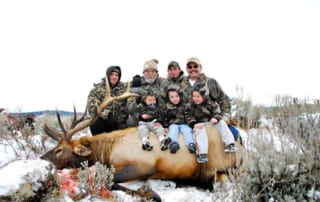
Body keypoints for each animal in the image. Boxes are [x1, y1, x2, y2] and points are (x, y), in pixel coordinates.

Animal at [41, 79, 244, 200]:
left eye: (59, 150)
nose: (42, 158)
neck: (108, 151)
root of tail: (243, 148)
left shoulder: (144, 164)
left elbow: (110, 180)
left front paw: (150, 193)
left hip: (220, 167)